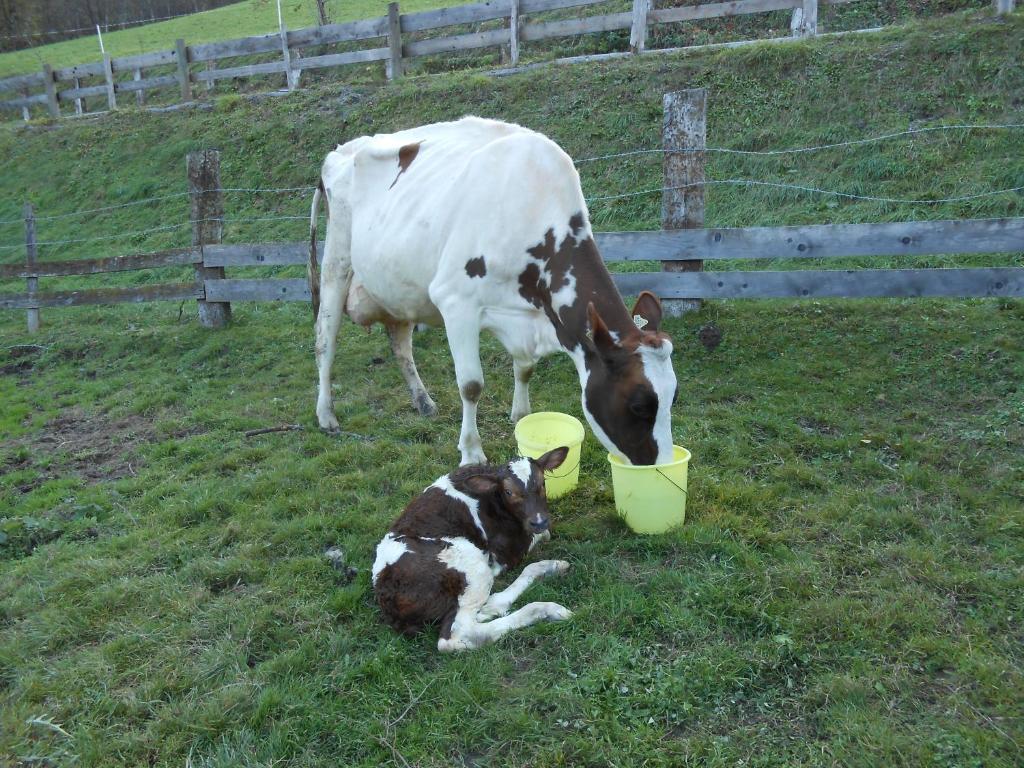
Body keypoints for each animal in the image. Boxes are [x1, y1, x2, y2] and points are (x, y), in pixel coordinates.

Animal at [372, 448, 573, 651]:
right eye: (508, 492)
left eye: (542, 483)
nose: (539, 522)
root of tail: (385, 591)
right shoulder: (510, 549)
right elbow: (544, 535)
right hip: (472, 565)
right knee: (459, 635)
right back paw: (545, 609)